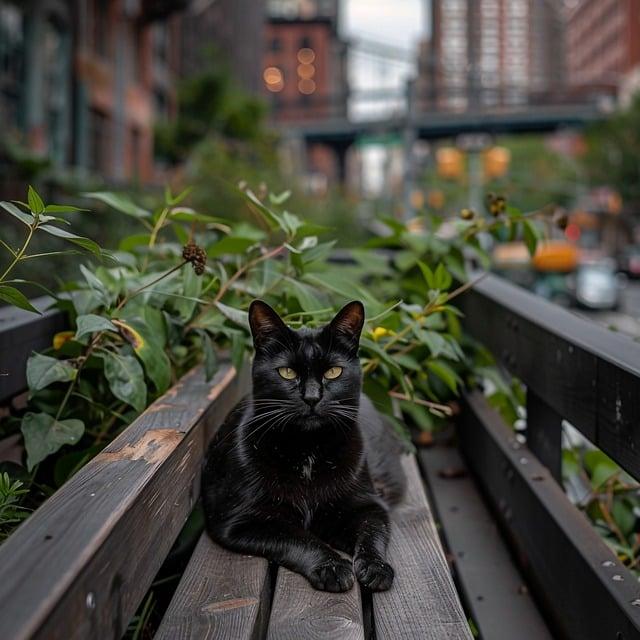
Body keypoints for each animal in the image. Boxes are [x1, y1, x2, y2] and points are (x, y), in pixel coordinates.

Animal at [200, 298, 404, 592]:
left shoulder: (369, 505)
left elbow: (373, 533)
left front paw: (376, 567)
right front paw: (332, 567)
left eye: (333, 371)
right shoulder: (239, 520)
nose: (312, 397)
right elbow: (298, 537)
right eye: (287, 372)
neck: (308, 450)